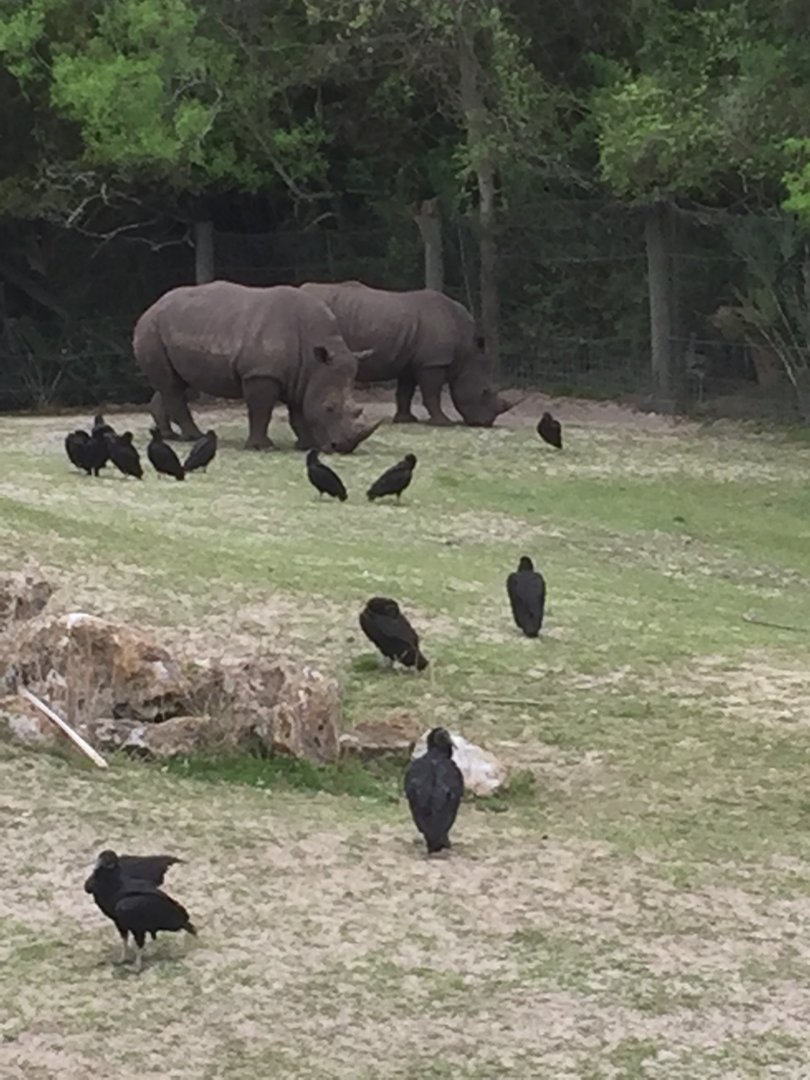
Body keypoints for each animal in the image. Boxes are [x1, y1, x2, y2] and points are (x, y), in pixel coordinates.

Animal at [134, 282, 380, 452]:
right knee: (172, 386)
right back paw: (195, 437)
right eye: (329, 408)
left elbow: (299, 411)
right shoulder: (261, 373)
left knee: (174, 382)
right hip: (151, 329)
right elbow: (261, 411)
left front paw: (307, 446)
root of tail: (150, 307)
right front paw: (263, 447)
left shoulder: (303, 376)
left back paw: (169, 436)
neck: (315, 360)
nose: (343, 448)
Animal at [299, 281, 513, 426]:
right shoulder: (433, 362)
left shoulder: (410, 361)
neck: (466, 352)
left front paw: (405, 420)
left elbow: (405, 391)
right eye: (485, 391)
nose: (486, 423)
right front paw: (443, 422)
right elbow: (432, 392)